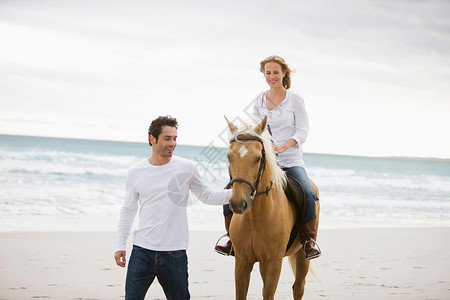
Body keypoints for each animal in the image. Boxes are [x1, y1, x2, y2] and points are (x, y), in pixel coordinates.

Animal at [224, 115, 316, 300]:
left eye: (258, 158)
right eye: (229, 156)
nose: (238, 203)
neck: (255, 218)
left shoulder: (273, 263)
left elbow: (268, 294)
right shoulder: (242, 263)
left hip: (302, 256)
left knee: (298, 287)